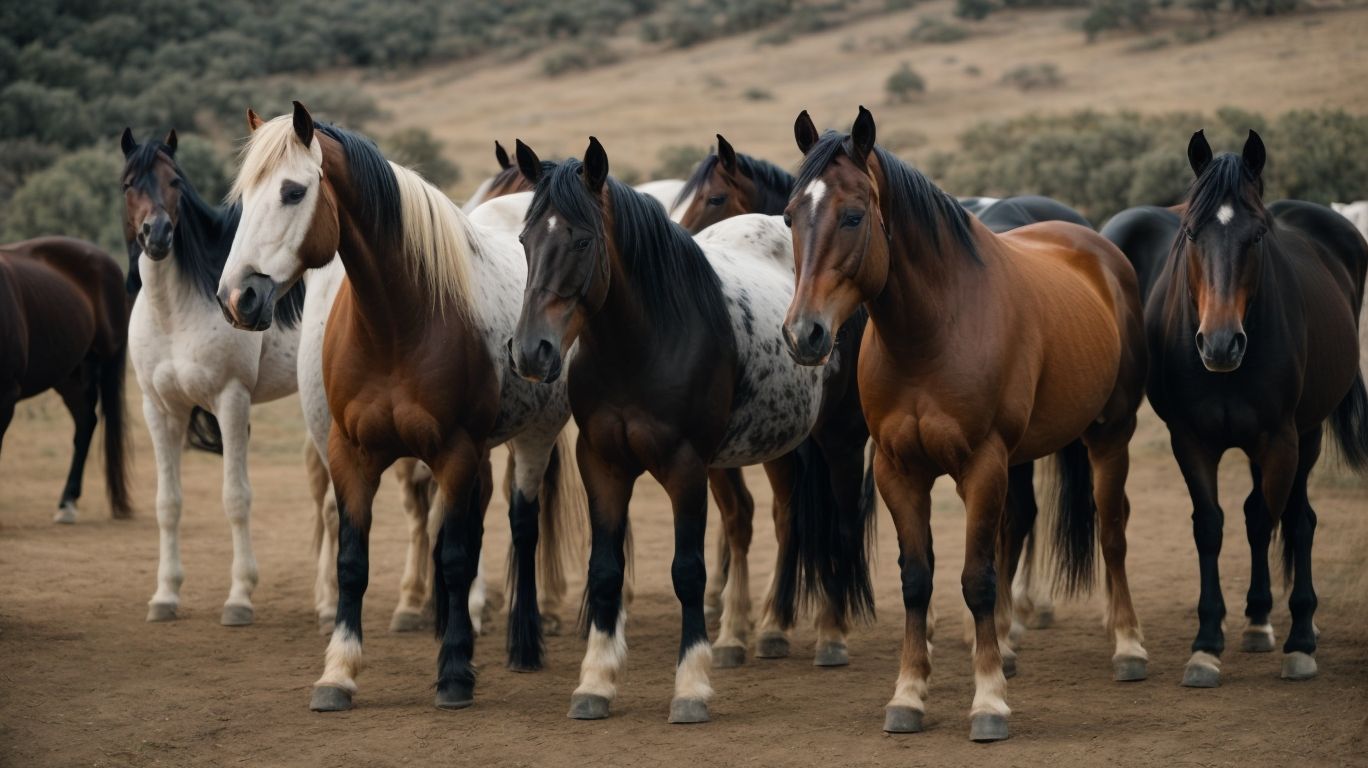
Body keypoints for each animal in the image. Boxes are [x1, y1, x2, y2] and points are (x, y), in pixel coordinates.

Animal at [0, 237, 131, 523]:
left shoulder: (6, 395)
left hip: (103, 361)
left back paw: (69, 502)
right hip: (69, 375)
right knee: (85, 421)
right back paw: (68, 500)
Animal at [217, 103, 582, 713]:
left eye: (293, 192)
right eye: (244, 198)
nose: (235, 298)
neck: (397, 325)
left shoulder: (455, 451)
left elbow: (455, 557)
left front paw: (455, 674)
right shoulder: (351, 453)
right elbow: (353, 561)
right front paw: (338, 672)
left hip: (533, 439)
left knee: (522, 526)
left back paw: (523, 646)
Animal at [508, 136, 875, 724]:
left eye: (582, 240)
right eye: (525, 239)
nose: (530, 350)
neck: (642, 343)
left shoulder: (684, 467)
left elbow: (689, 572)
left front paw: (691, 687)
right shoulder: (602, 464)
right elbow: (605, 570)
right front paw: (596, 682)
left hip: (839, 440)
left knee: (840, 524)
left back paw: (831, 634)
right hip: (773, 445)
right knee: (780, 516)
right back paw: (767, 630)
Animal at [781, 107, 1149, 742]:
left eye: (853, 215)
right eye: (788, 216)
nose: (804, 334)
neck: (931, 333)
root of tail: (1095, 245)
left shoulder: (981, 464)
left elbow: (976, 579)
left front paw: (989, 702)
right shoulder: (898, 470)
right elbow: (918, 578)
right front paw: (908, 695)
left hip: (1110, 434)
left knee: (1111, 530)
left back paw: (1126, 646)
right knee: (1017, 526)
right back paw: (1006, 643)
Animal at [1144, 130, 1368, 689]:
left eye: (1259, 236)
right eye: (1191, 233)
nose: (1221, 344)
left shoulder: (1279, 440)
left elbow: (1266, 519)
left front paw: (1292, 640)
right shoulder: (1190, 440)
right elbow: (1210, 525)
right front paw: (1206, 645)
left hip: (1307, 435)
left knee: (1299, 519)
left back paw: (1294, 628)